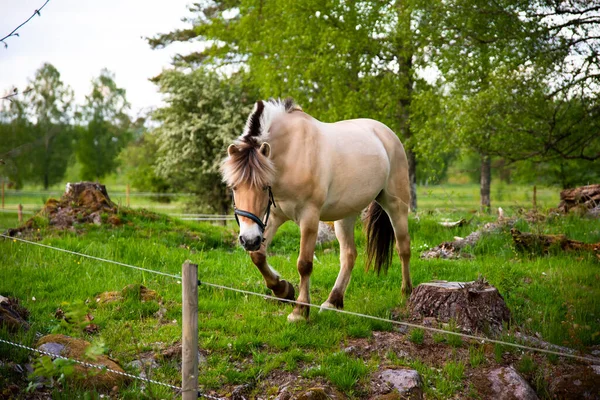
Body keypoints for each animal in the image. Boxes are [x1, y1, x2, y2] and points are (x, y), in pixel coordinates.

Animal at [220, 99, 412, 322]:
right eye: (233, 187)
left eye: (264, 186)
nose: (249, 239)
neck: (291, 154)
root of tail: (387, 134)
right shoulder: (274, 216)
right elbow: (258, 256)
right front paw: (283, 289)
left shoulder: (309, 217)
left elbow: (304, 264)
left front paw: (300, 310)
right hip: (346, 214)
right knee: (349, 255)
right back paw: (333, 301)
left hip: (396, 205)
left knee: (403, 248)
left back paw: (406, 293)